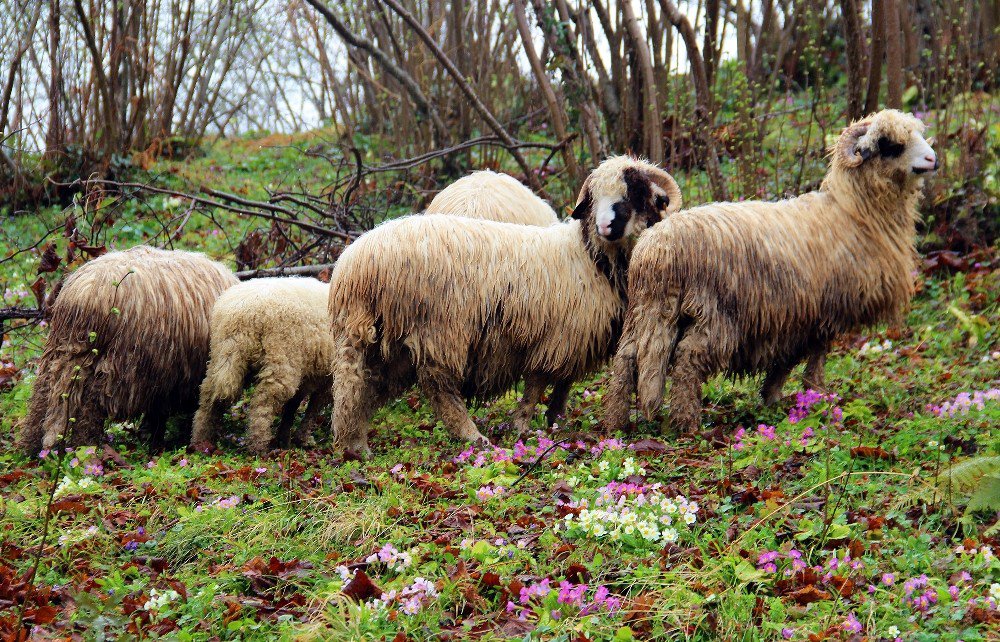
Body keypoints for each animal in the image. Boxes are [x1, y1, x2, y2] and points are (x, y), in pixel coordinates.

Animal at [20, 244, 240, 450]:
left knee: (41, 397)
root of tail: (86, 294)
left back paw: (29, 448)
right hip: (123, 363)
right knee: (91, 404)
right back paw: (86, 446)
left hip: (62, 351)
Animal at [191, 278, 336, 452]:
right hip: (281, 359)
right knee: (263, 403)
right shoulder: (327, 378)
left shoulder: (309, 375)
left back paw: (200, 441)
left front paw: (285, 439)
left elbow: (293, 406)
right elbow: (313, 407)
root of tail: (239, 315)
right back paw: (259, 446)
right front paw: (302, 439)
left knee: (208, 397)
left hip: (222, 357)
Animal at [600, 110, 936, 432]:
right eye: (890, 145)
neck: (851, 212)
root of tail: (659, 247)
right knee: (687, 360)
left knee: (626, 359)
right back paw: (687, 423)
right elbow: (816, 357)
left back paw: (616, 422)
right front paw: (817, 397)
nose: (932, 159)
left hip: (648, 309)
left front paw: (772, 398)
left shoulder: (795, 315)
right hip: (716, 313)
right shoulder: (826, 309)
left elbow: (787, 359)